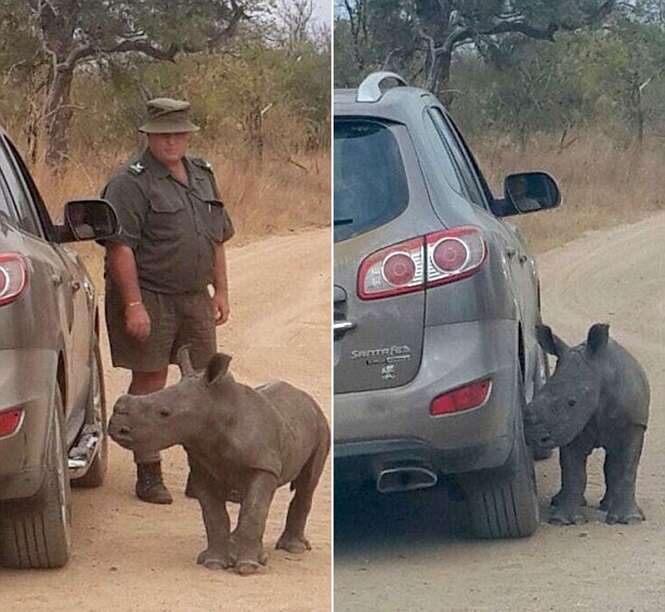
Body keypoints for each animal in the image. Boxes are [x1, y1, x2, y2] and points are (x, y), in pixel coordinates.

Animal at [107, 350, 332, 572]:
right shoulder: (202, 467)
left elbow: (253, 512)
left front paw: (247, 568)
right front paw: (214, 563)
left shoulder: (262, 465)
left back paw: (292, 549)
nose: (116, 428)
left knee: (306, 484)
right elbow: (214, 515)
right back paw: (247, 548)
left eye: (164, 413)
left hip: (321, 425)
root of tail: (307, 398)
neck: (217, 409)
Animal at [524, 326, 648, 524]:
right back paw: (560, 502)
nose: (534, 436)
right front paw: (564, 521)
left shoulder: (633, 424)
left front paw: (629, 520)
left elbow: (626, 468)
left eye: (572, 402)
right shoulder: (571, 427)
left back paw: (606, 506)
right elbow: (573, 471)